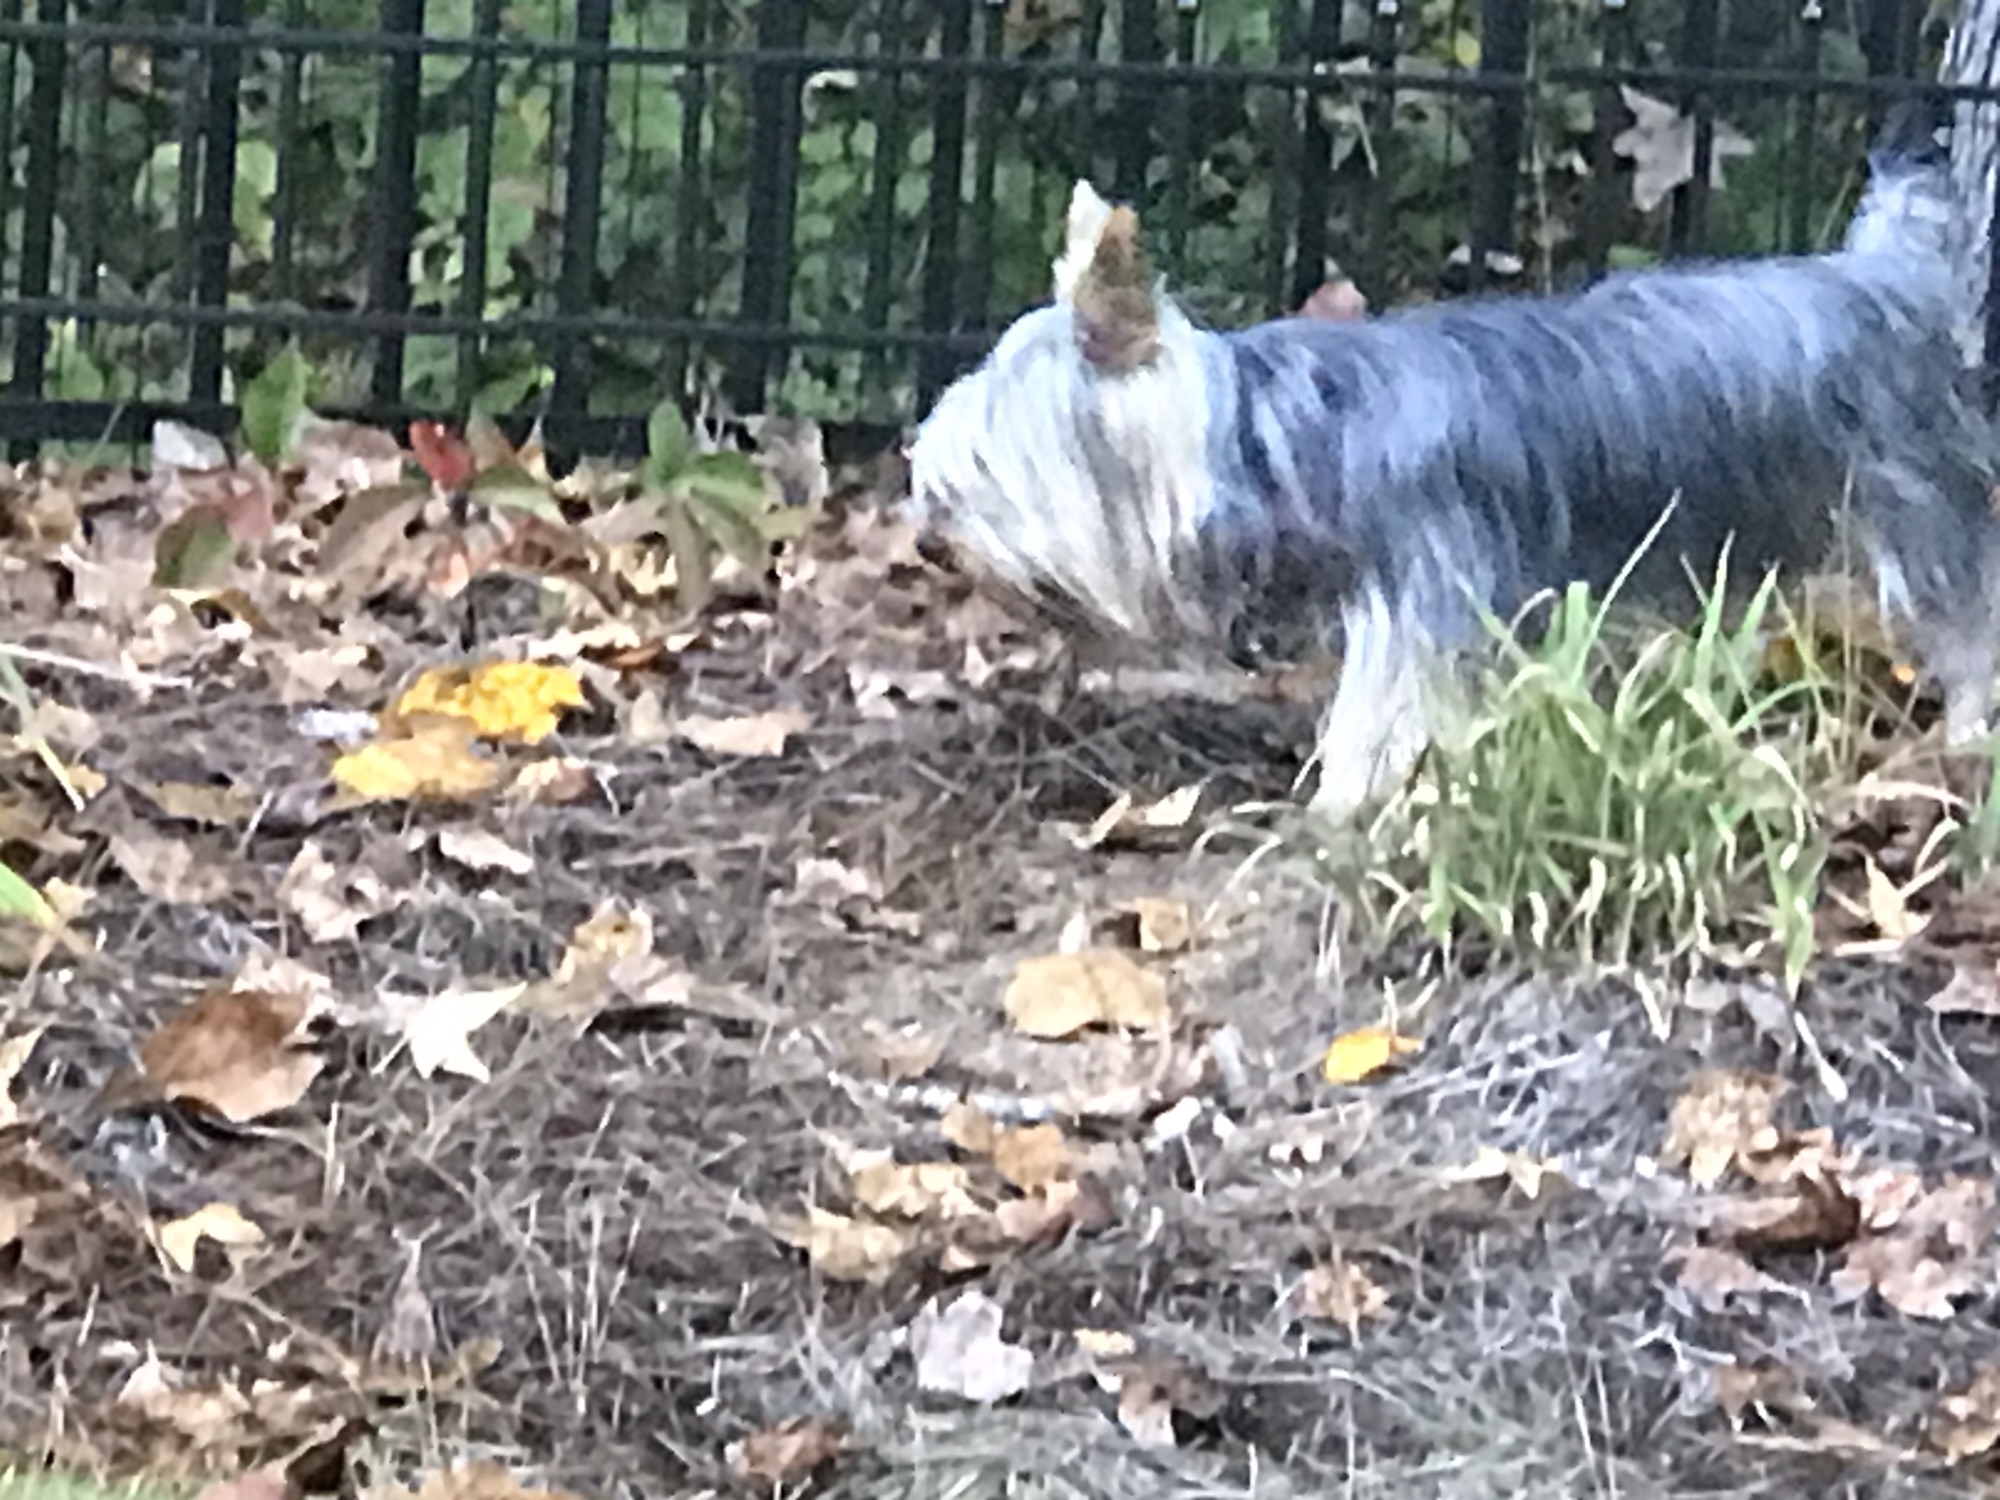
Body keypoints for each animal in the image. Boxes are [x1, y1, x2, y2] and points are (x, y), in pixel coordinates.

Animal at [905, 106, 2000, 823]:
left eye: (985, 471)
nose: (928, 544)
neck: (1270, 433)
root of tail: (1890, 275)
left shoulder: (1424, 597)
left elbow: (1383, 716)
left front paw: (1347, 813)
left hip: (1920, 507)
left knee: (1966, 621)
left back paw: (1966, 740)